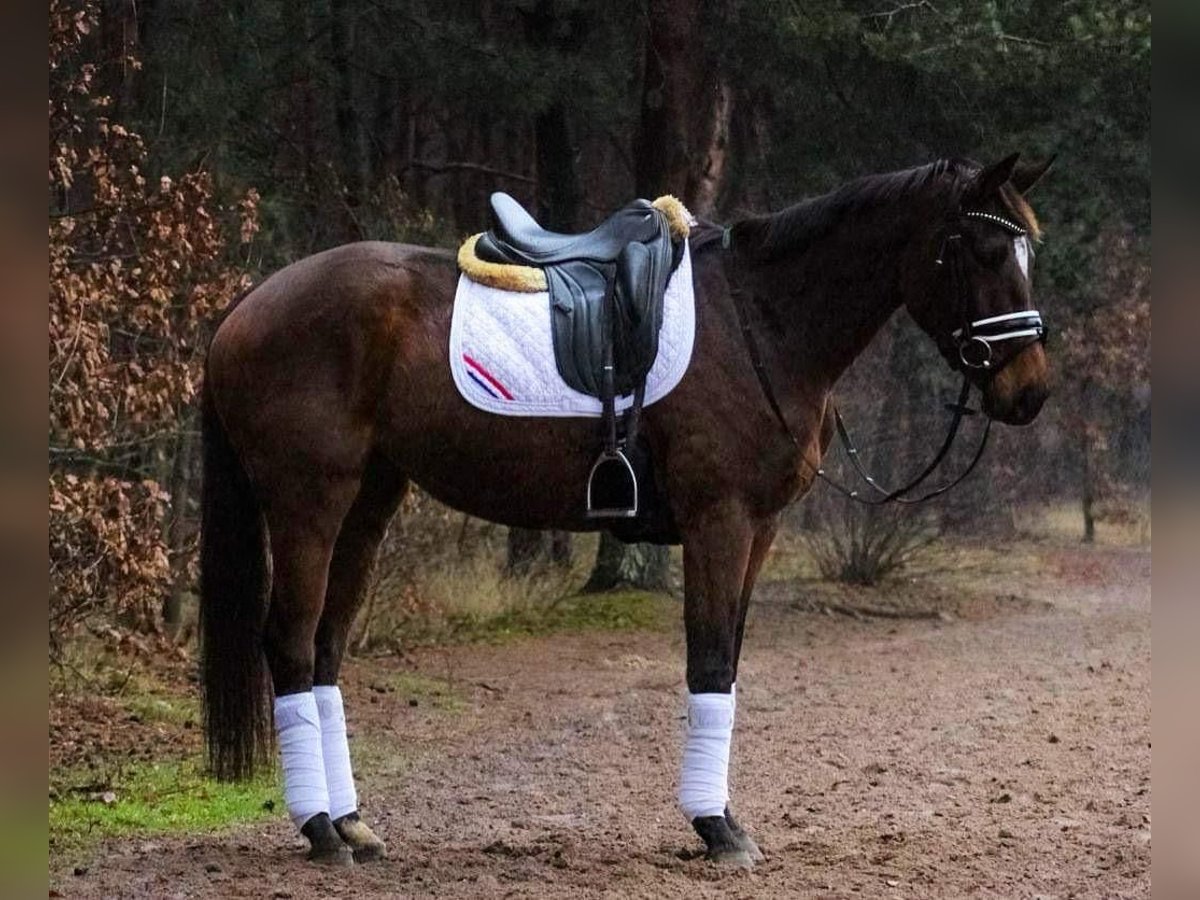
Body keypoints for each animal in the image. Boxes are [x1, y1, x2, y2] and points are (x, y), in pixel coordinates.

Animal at [196, 153, 1051, 868]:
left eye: (1026, 256)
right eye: (982, 252)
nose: (1030, 393)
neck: (762, 321)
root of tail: (250, 302)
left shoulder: (761, 530)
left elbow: (730, 660)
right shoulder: (720, 521)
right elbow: (710, 660)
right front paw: (716, 827)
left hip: (370, 500)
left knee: (327, 649)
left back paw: (350, 825)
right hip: (309, 500)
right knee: (291, 643)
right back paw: (317, 830)